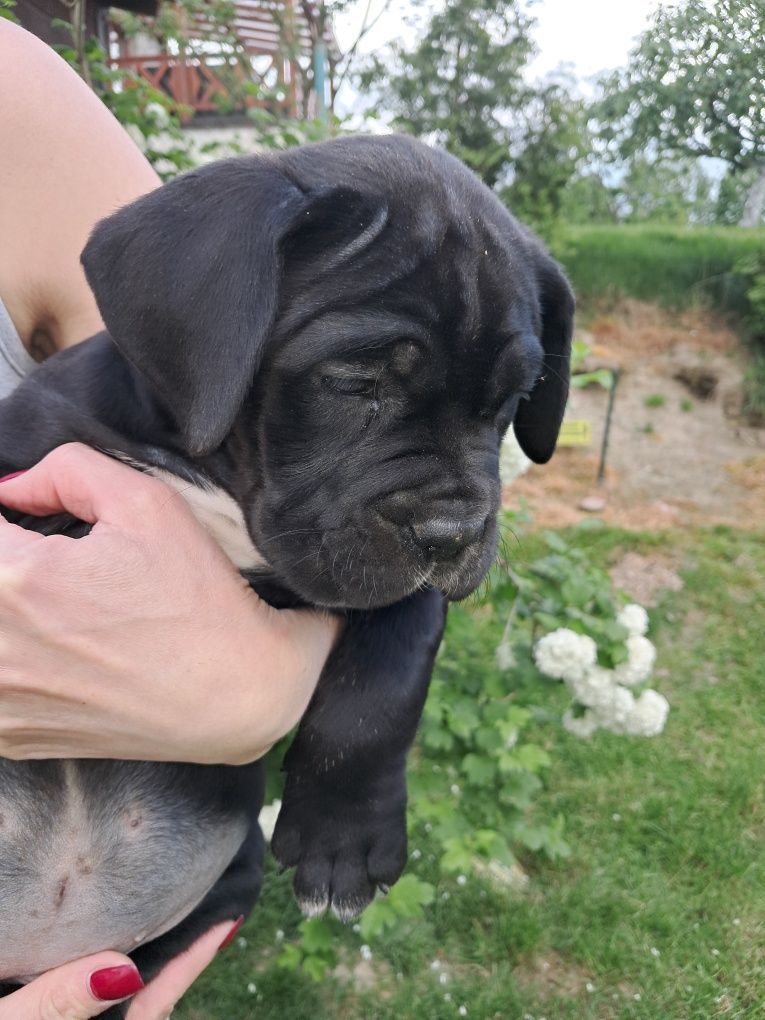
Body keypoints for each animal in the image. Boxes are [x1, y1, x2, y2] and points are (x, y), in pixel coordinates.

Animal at [0, 131, 575, 1007]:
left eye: (512, 399)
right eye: (353, 381)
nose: (451, 534)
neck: (225, 483)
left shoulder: (377, 584)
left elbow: (387, 672)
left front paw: (344, 837)